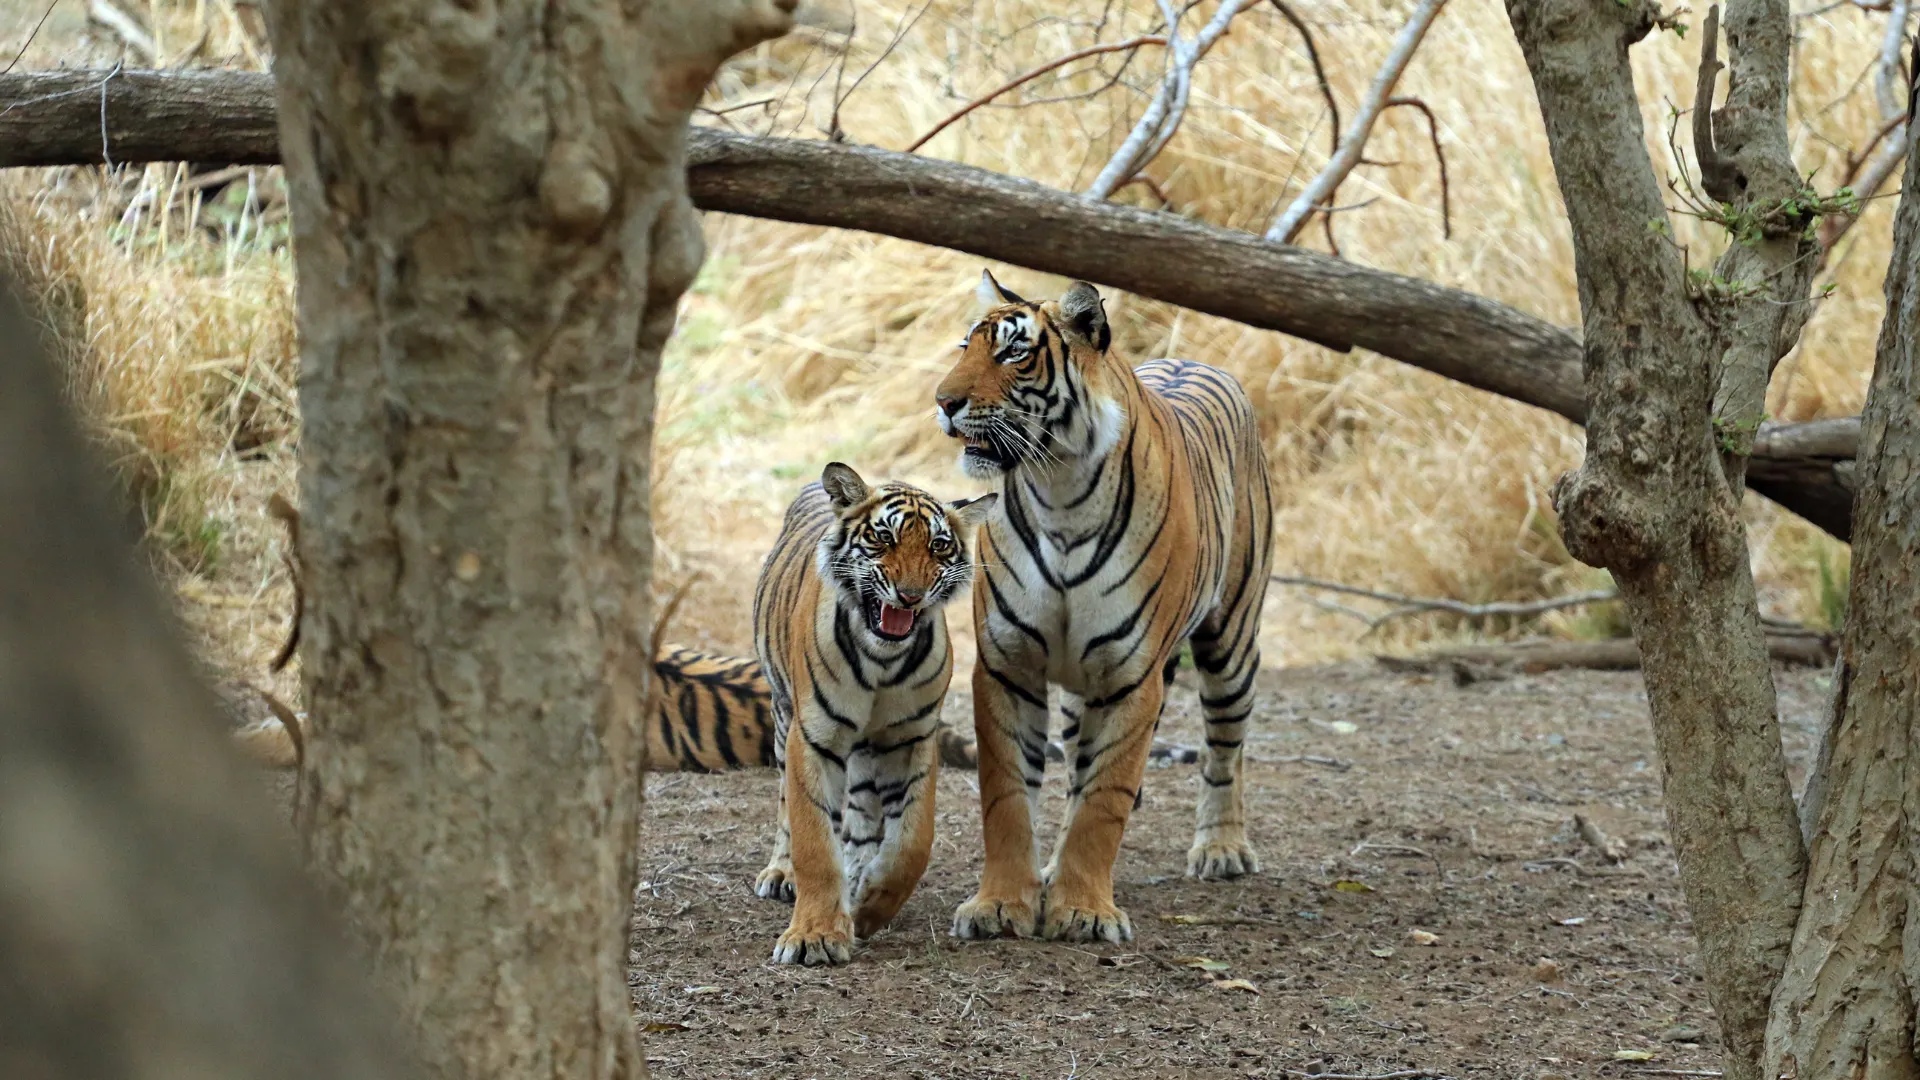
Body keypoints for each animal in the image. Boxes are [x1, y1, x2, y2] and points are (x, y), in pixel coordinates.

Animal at [751, 462, 995, 965]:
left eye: (939, 546)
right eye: (883, 538)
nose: (910, 596)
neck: (882, 659)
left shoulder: (912, 737)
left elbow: (912, 842)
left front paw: (867, 907)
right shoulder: (813, 737)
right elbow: (814, 841)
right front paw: (813, 937)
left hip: (868, 746)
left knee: (864, 817)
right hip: (783, 714)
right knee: (786, 805)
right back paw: (781, 873)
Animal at [935, 271, 1275, 945]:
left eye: (1013, 353)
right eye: (965, 346)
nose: (943, 402)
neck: (1059, 490)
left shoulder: (1131, 676)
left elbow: (1105, 801)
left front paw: (1085, 912)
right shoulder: (1008, 665)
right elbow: (1007, 797)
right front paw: (1001, 905)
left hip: (1231, 643)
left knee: (1226, 749)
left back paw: (1222, 848)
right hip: (1077, 695)